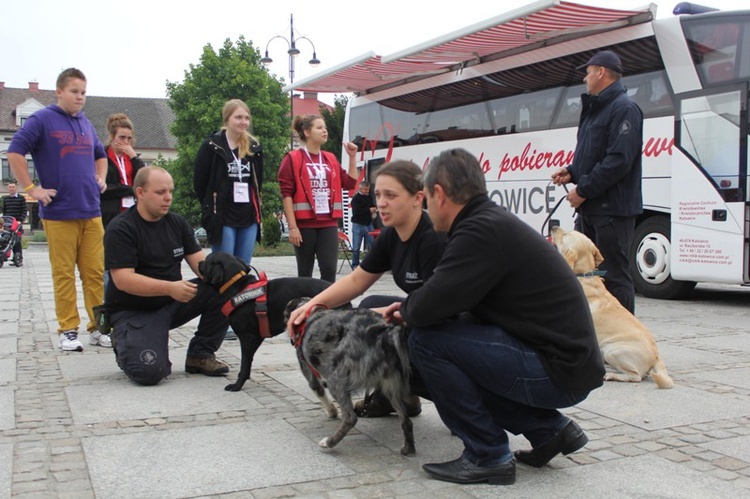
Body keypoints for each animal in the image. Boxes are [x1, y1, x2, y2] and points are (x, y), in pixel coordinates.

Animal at [198, 252, 342, 392]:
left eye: (207, 260)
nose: (199, 262)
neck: (237, 286)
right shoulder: (256, 337)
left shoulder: (248, 338)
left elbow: (245, 365)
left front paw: (237, 385)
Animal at [286, 296, 418, 458]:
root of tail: (384, 333)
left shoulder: (308, 370)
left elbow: (319, 391)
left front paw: (331, 411)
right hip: (391, 386)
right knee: (406, 421)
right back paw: (408, 448)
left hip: (336, 379)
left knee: (350, 418)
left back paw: (329, 442)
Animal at [552, 228, 676, 390]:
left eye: (566, 235)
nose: (553, 227)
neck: (584, 276)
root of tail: (656, 357)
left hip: (612, 350)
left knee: (636, 376)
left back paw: (611, 375)